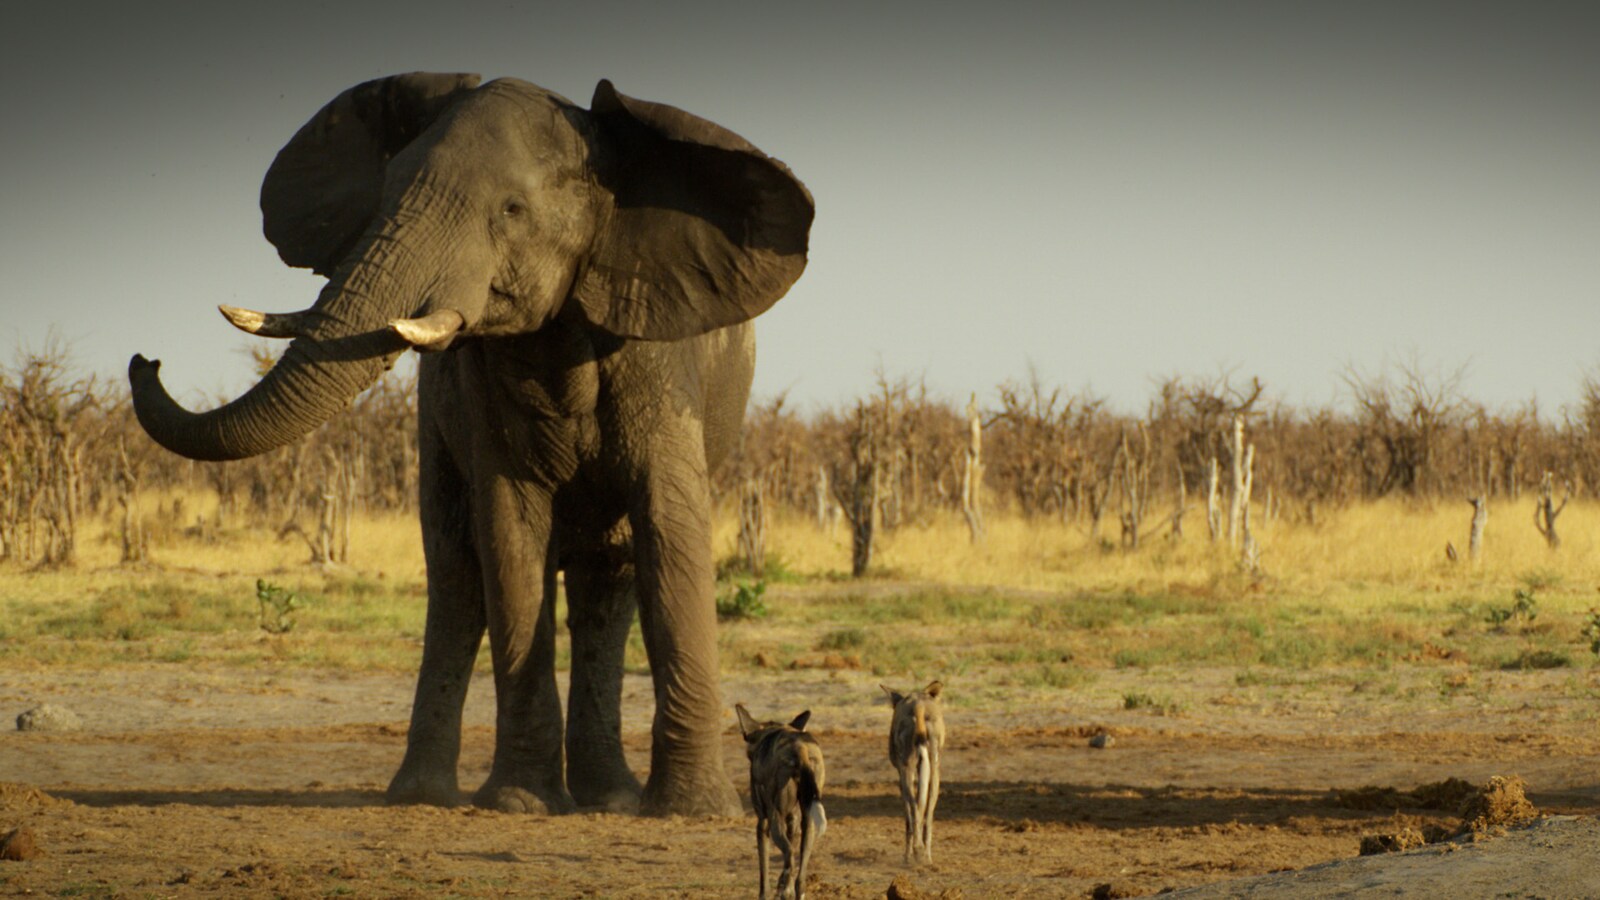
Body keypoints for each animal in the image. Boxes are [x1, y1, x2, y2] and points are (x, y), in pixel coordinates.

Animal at [128, 71, 812, 813]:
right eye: (386, 191)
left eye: (512, 210)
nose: (145, 361)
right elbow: (510, 539)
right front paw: (520, 803)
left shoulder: (661, 361)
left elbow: (671, 535)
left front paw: (694, 812)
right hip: (433, 426)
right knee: (458, 584)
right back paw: (423, 797)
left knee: (609, 587)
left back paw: (610, 800)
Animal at [736, 704, 832, 890]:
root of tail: (800, 748)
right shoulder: (792, 819)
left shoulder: (762, 822)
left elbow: (764, 875)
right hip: (808, 823)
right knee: (799, 877)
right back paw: (788, 888)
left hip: (775, 820)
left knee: (789, 854)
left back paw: (782, 887)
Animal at [883, 679, 940, 864]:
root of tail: (918, 707)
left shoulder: (901, 775)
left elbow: (908, 817)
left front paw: (908, 855)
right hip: (934, 771)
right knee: (927, 815)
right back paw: (926, 856)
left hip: (908, 771)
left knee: (914, 810)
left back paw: (915, 851)